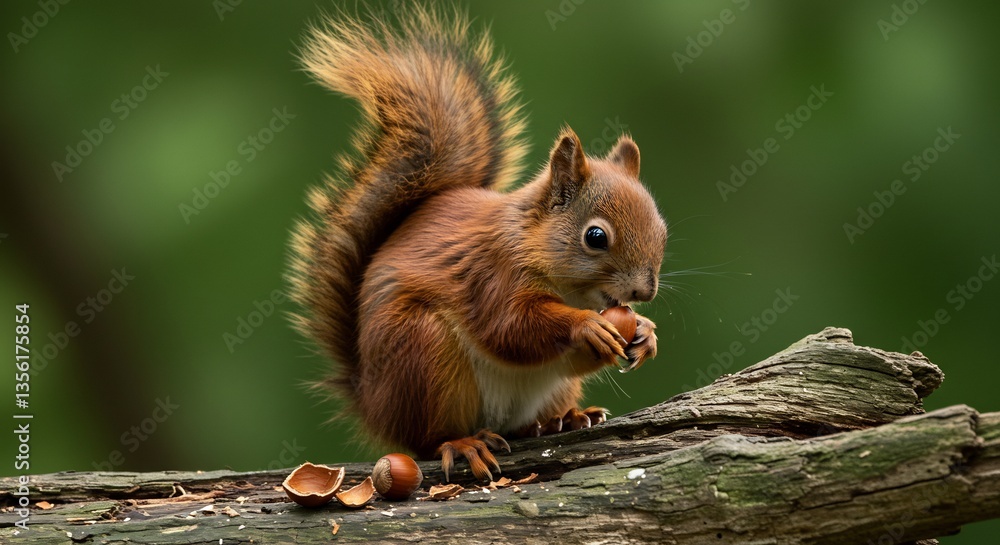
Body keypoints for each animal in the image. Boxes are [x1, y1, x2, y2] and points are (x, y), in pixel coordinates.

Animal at [289, 6, 667, 482]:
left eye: (662, 229)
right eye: (595, 237)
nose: (644, 292)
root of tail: (372, 402)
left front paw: (646, 332)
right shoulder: (494, 274)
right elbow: (510, 328)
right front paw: (587, 325)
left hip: (548, 388)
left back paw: (563, 419)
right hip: (423, 354)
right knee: (427, 440)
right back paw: (463, 443)